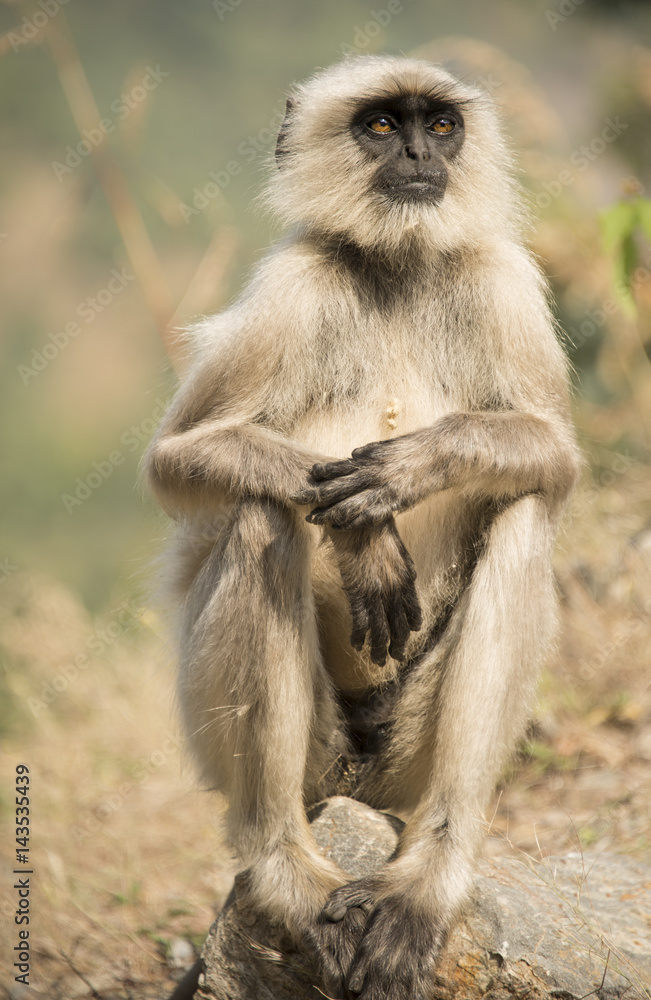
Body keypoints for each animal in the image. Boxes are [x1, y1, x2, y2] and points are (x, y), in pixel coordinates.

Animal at [145, 55, 580, 1000]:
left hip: (402, 767)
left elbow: (555, 460)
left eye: (439, 125)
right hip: (299, 761)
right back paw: (286, 870)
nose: (419, 155)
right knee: (259, 516)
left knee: (523, 512)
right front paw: (361, 539)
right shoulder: (291, 281)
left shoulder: (500, 274)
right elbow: (176, 461)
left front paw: (404, 472)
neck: (397, 265)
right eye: (381, 126)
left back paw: (429, 877)